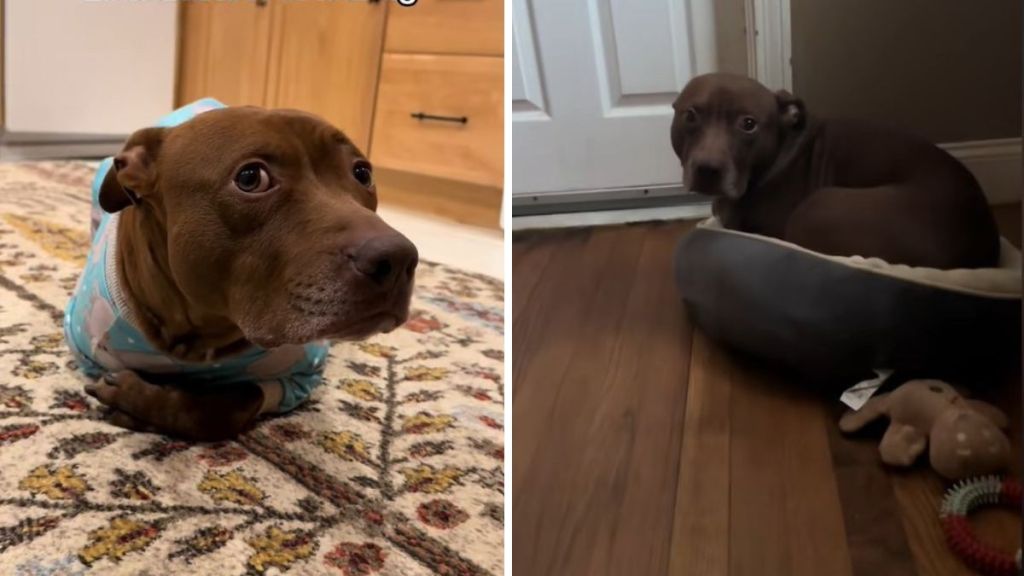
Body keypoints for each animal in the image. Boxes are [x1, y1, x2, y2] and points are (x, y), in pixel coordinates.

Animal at [66, 99, 415, 438]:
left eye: (363, 173)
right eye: (250, 178)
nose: (399, 259)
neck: (203, 331)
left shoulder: (297, 377)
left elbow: (229, 407)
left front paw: (137, 400)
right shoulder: (90, 354)